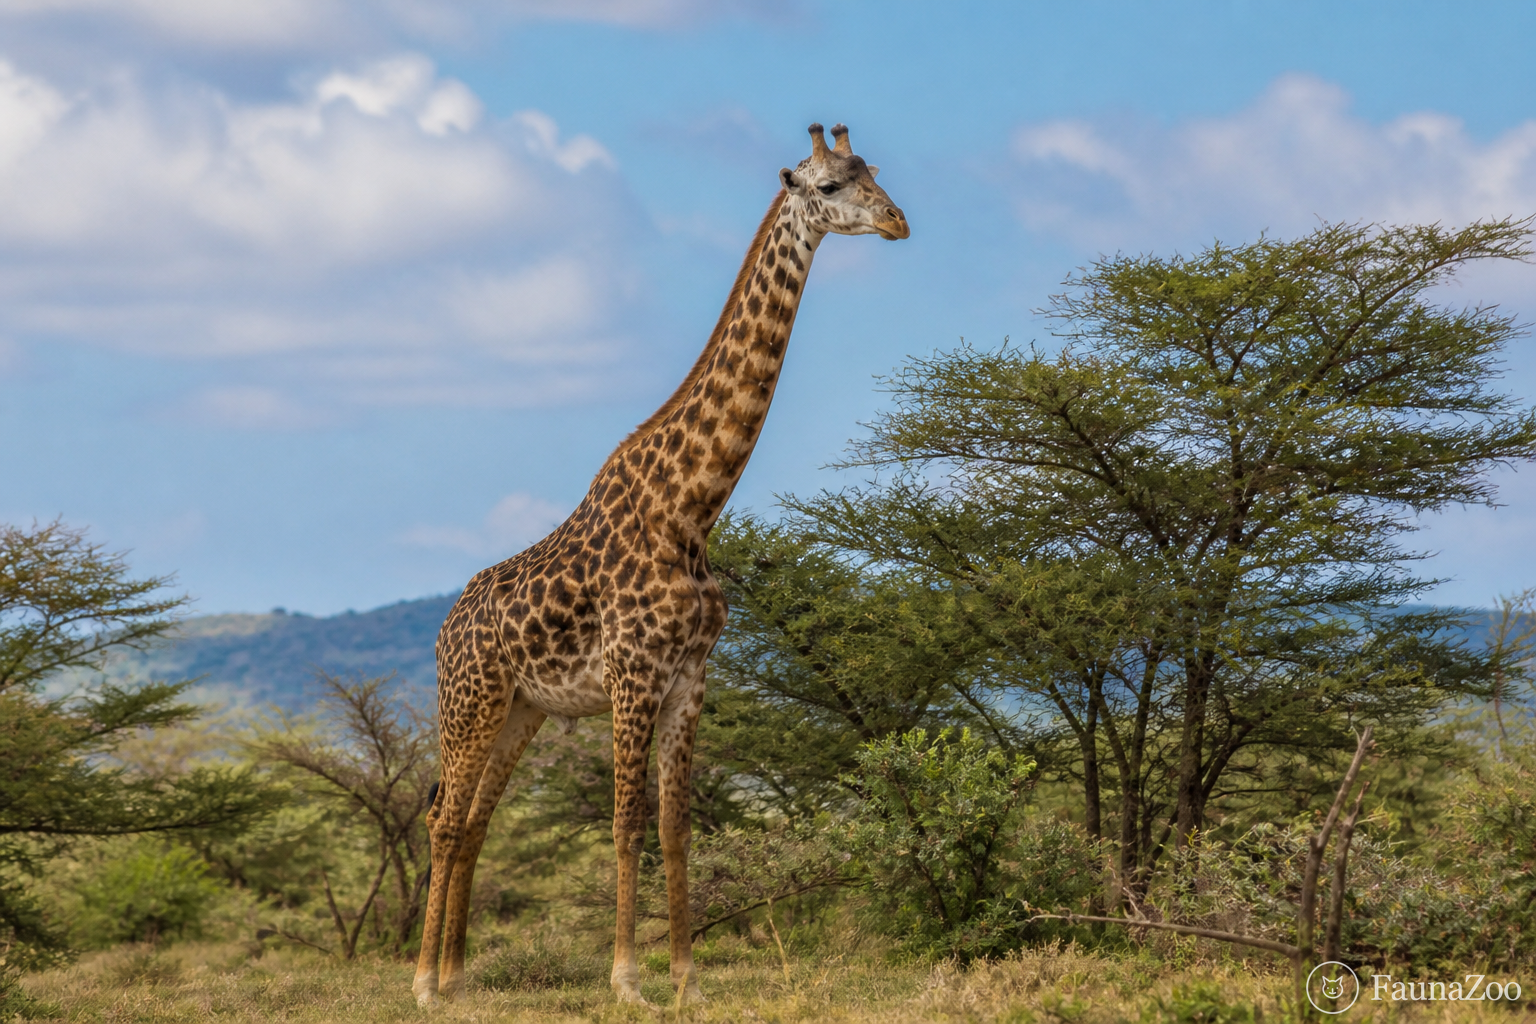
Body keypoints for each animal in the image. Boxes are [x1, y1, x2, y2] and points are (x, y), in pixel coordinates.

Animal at [412, 122, 909, 1008]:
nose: (897, 222)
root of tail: (445, 629)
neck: (692, 509)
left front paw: (687, 980)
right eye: (827, 187)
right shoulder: (633, 673)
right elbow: (625, 823)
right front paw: (627, 981)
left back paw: (461, 975)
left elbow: (676, 827)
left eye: (874, 173)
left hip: (520, 711)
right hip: (469, 703)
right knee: (442, 819)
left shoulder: (690, 678)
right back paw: (425, 985)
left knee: (470, 822)